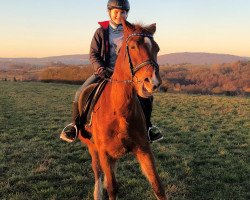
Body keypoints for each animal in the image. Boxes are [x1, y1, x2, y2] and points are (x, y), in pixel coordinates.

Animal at [78, 18, 168, 199]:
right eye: (132, 47)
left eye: (157, 48)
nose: (153, 83)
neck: (119, 111)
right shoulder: (104, 153)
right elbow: (112, 188)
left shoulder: (144, 149)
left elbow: (157, 186)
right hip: (92, 148)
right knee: (98, 171)